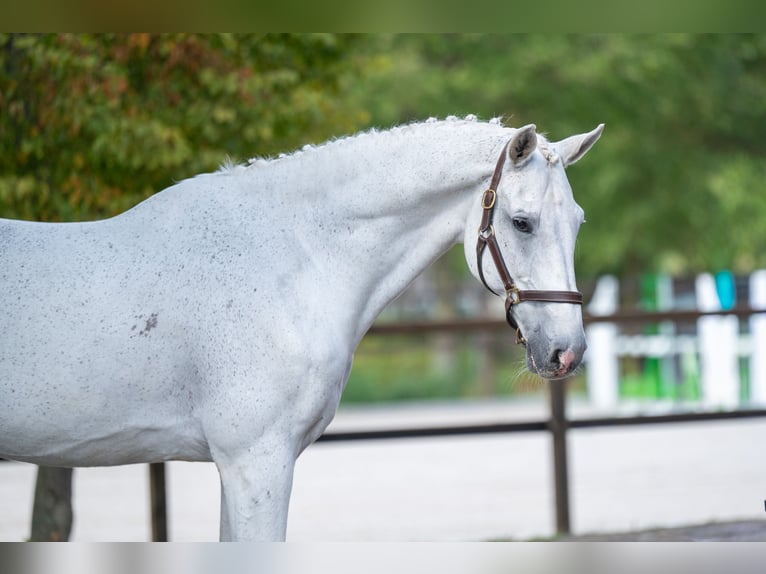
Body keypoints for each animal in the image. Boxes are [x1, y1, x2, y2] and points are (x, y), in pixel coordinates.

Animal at [0, 116, 603, 541]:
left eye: (578, 221)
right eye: (522, 222)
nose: (567, 352)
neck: (292, 258)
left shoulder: (240, 468)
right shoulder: (256, 463)